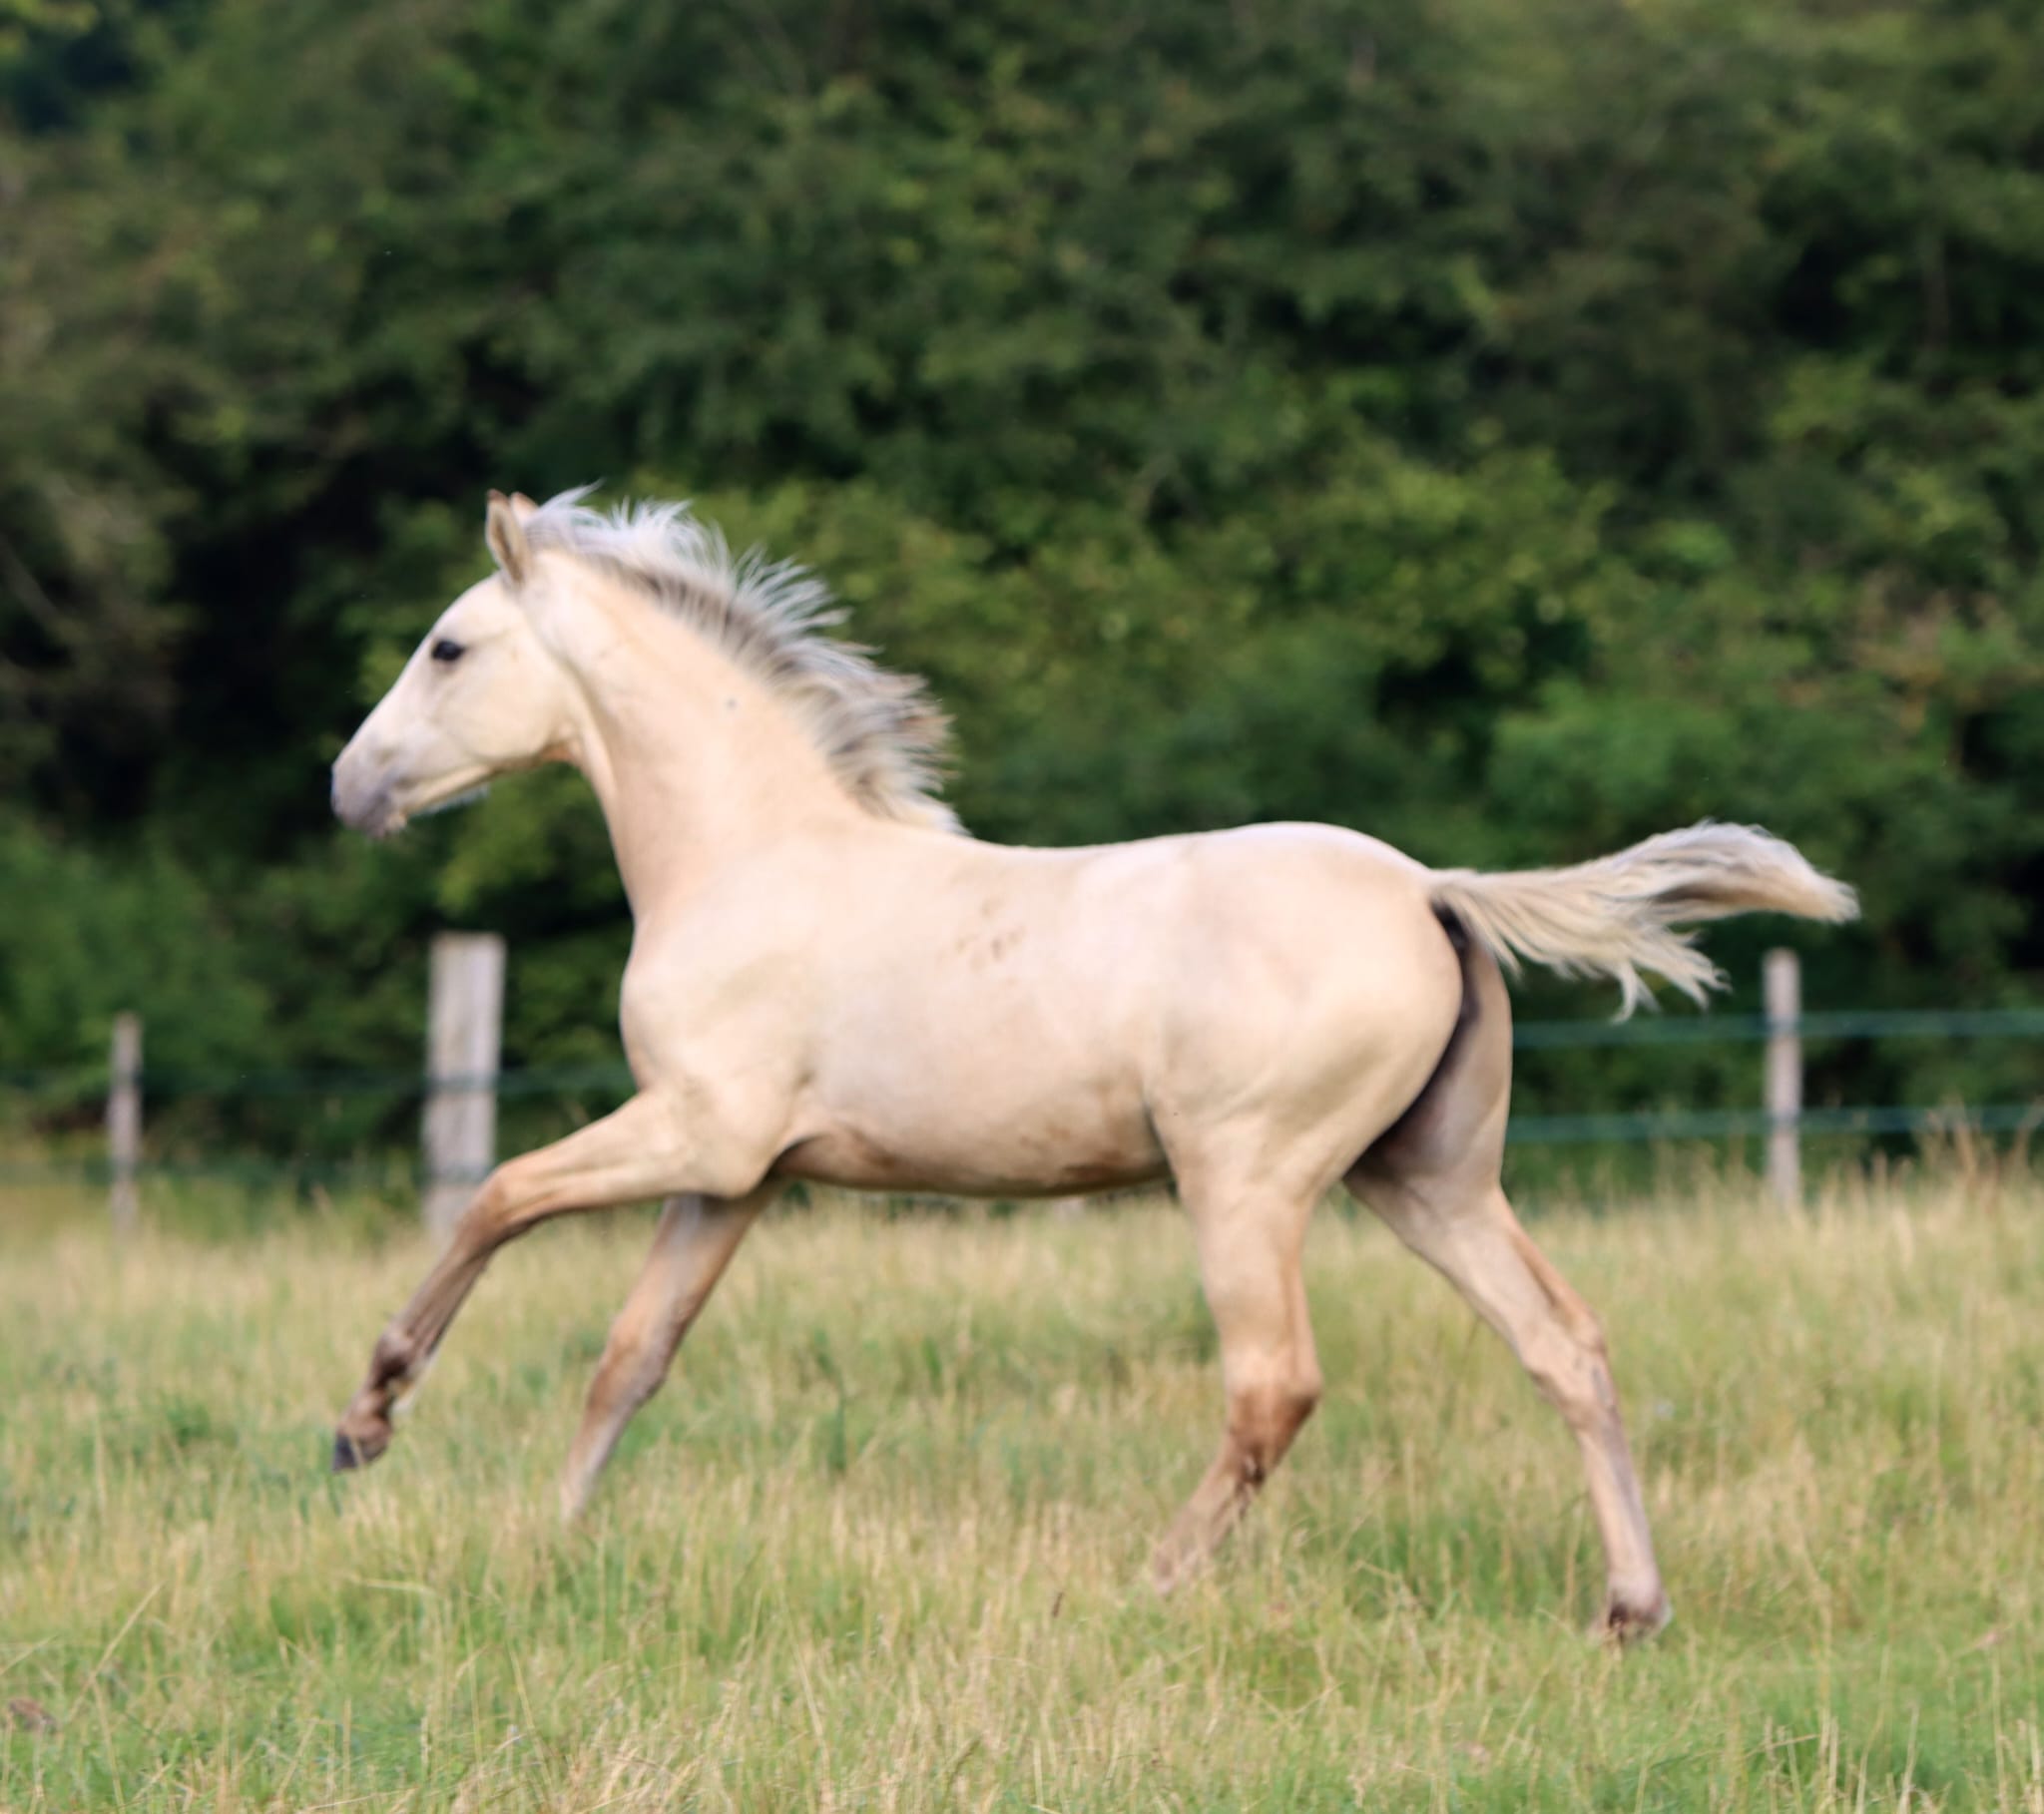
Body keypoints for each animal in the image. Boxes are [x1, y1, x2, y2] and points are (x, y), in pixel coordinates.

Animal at [330, 488, 1855, 1633]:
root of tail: (1431, 890)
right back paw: (1630, 1606)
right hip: (1428, 1179)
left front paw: (368, 1418)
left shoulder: (697, 1129)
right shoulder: (736, 1177)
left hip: (1246, 1181)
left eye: (449, 647)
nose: (349, 788)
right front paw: (551, 1536)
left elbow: (500, 1194)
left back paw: (1149, 1586)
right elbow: (630, 1357)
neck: (751, 857)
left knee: (1274, 1386)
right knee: (1565, 1346)